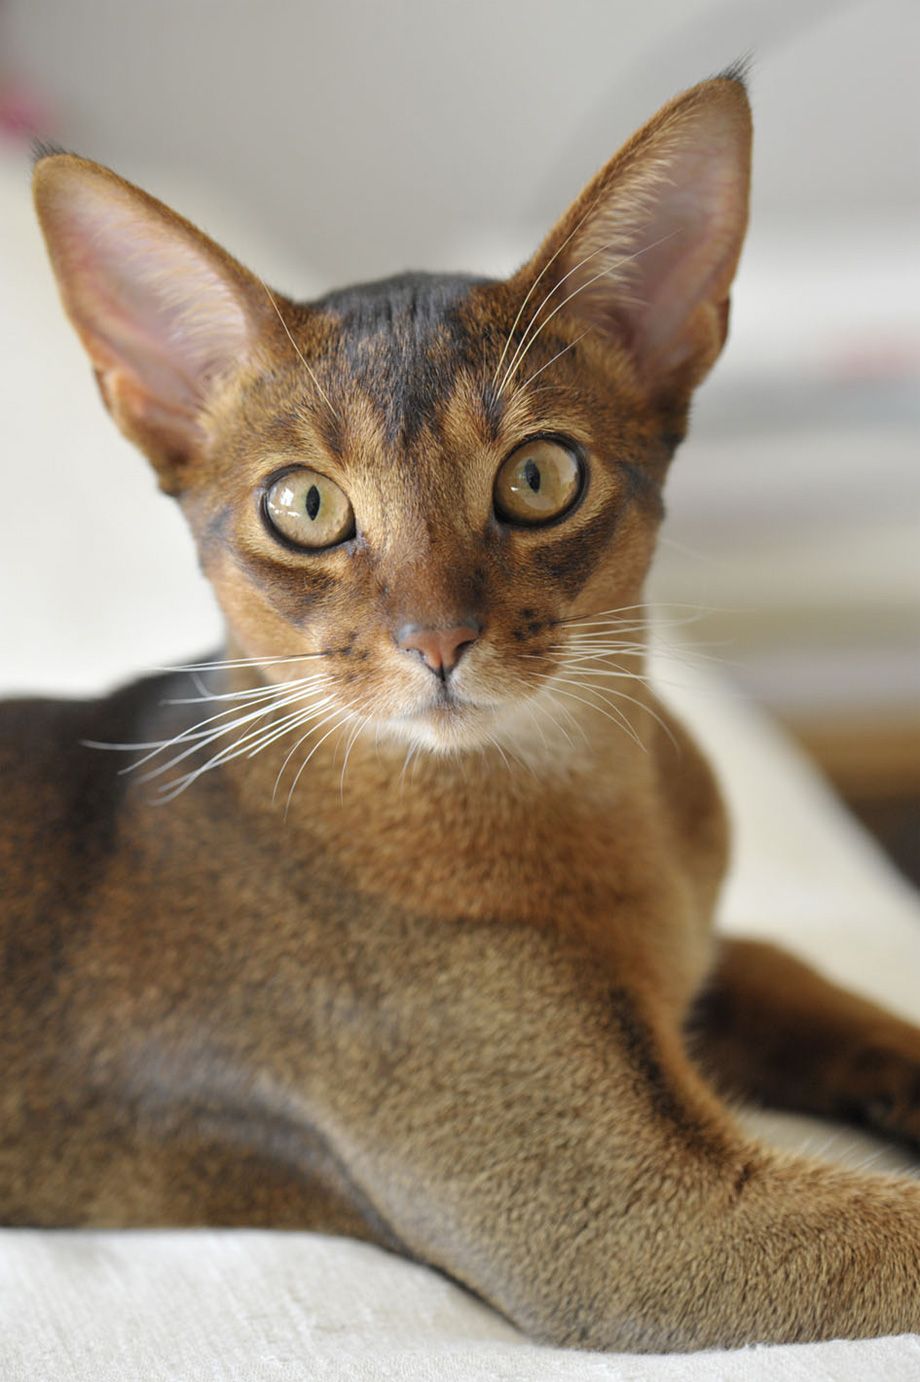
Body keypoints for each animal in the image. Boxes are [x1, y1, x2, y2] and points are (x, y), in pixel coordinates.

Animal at [1, 67, 917, 1348]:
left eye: (537, 476)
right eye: (303, 505)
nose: (436, 641)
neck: (600, 799)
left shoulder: (703, 962)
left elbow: (818, 985)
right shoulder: (643, 1225)